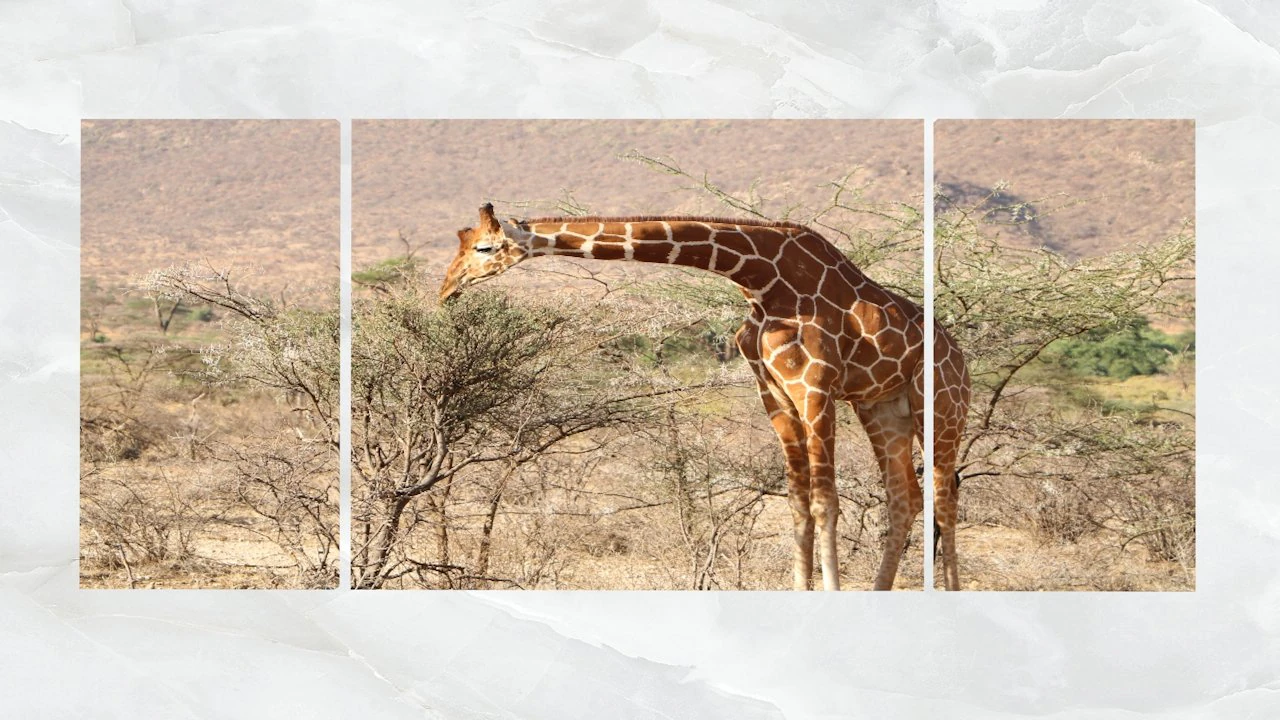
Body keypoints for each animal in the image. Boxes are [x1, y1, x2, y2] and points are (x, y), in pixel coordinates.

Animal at [440, 203, 971, 590]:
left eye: (484, 247)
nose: (446, 289)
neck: (760, 279)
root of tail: (961, 356)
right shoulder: (774, 394)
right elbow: (798, 502)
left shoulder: (815, 387)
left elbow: (825, 502)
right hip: (882, 408)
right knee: (906, 498)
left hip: (940, 406)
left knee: (943, 498)